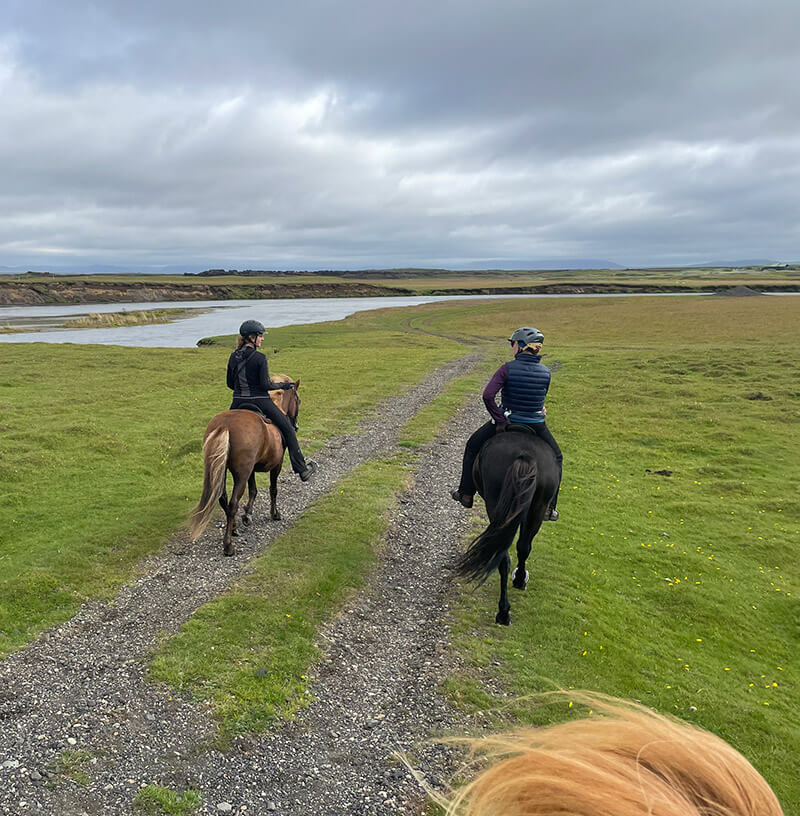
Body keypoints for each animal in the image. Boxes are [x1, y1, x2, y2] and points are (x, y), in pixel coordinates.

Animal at [189, 376, 302, 556]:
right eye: (298, 400)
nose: (295, 426)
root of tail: (225, 425)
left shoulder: (251, 469)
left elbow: (253, 489)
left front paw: (247, 514)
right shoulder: (276, 464)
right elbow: (273, 489)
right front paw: (274, 514)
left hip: (222, 470)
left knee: (223, 498)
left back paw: (233, 528)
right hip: (241, 474)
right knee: (233, 503)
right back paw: (228, 545)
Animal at [454, 430, 560, 628]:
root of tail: (525, 455)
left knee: (508, 552)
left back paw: (504, 610)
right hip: (536, 508)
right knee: (521, 547)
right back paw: (510, 598)